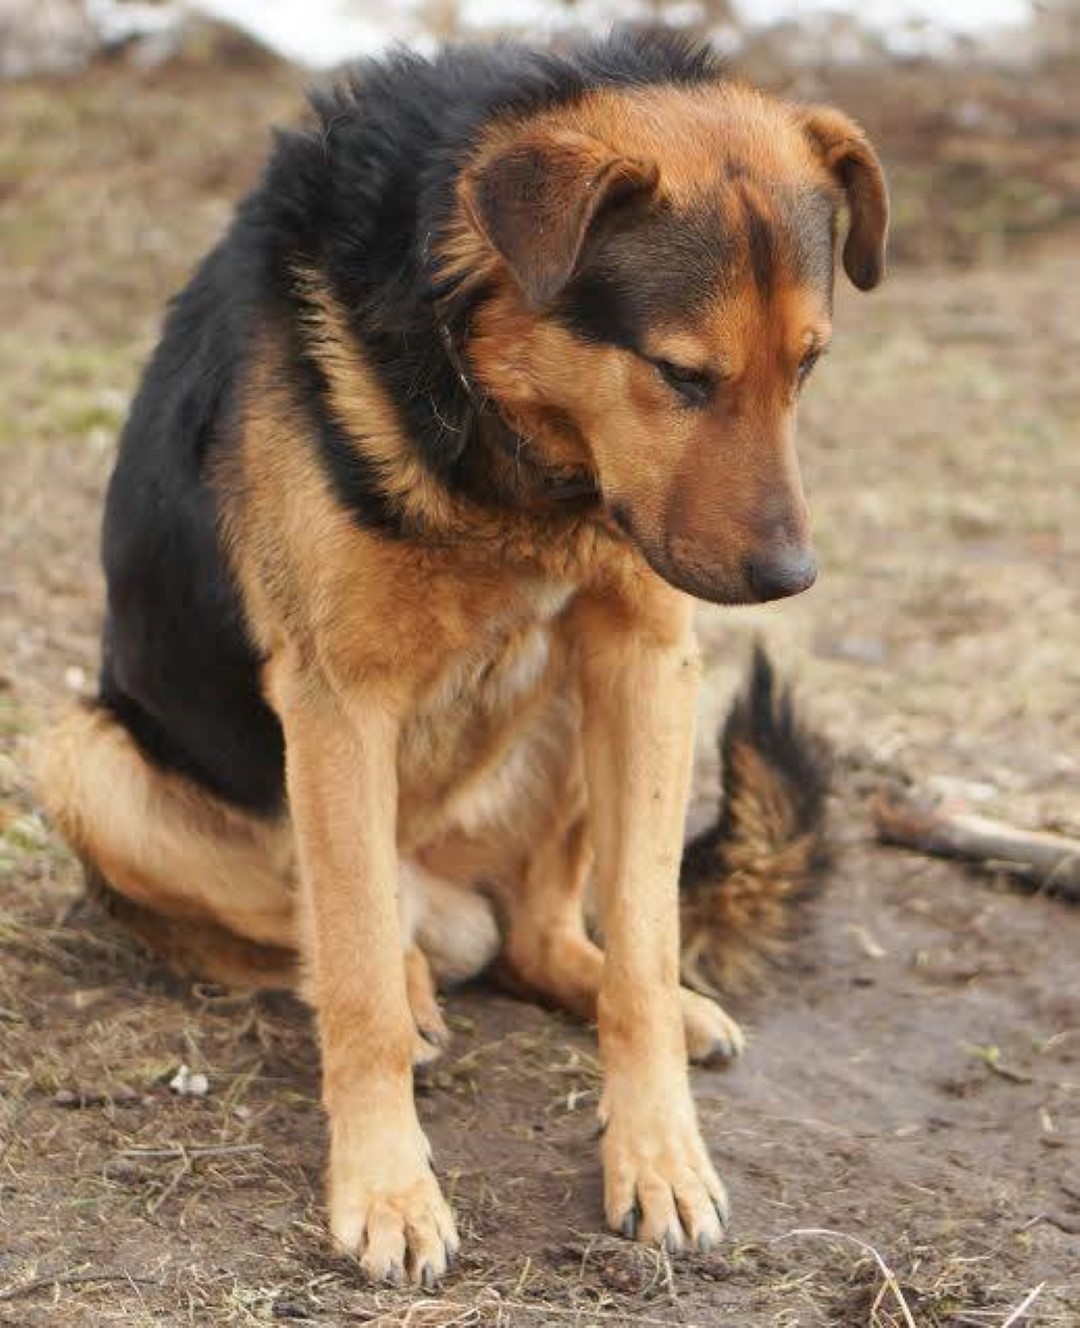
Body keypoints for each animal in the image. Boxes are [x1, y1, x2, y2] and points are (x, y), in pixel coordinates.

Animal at [37, 28, 887, 1285]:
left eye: (809, 366)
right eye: (681, 375)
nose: (792, 578)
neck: (514, 441)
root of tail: (457, 903)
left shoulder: (646, 652)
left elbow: (642, 943)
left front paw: (660, 1154)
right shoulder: (338, 702)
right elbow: (354, 989)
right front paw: (388, 1188)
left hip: (598, 711)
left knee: (549, 934)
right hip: (83, 756)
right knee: (321, 931)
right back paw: (408, 978)